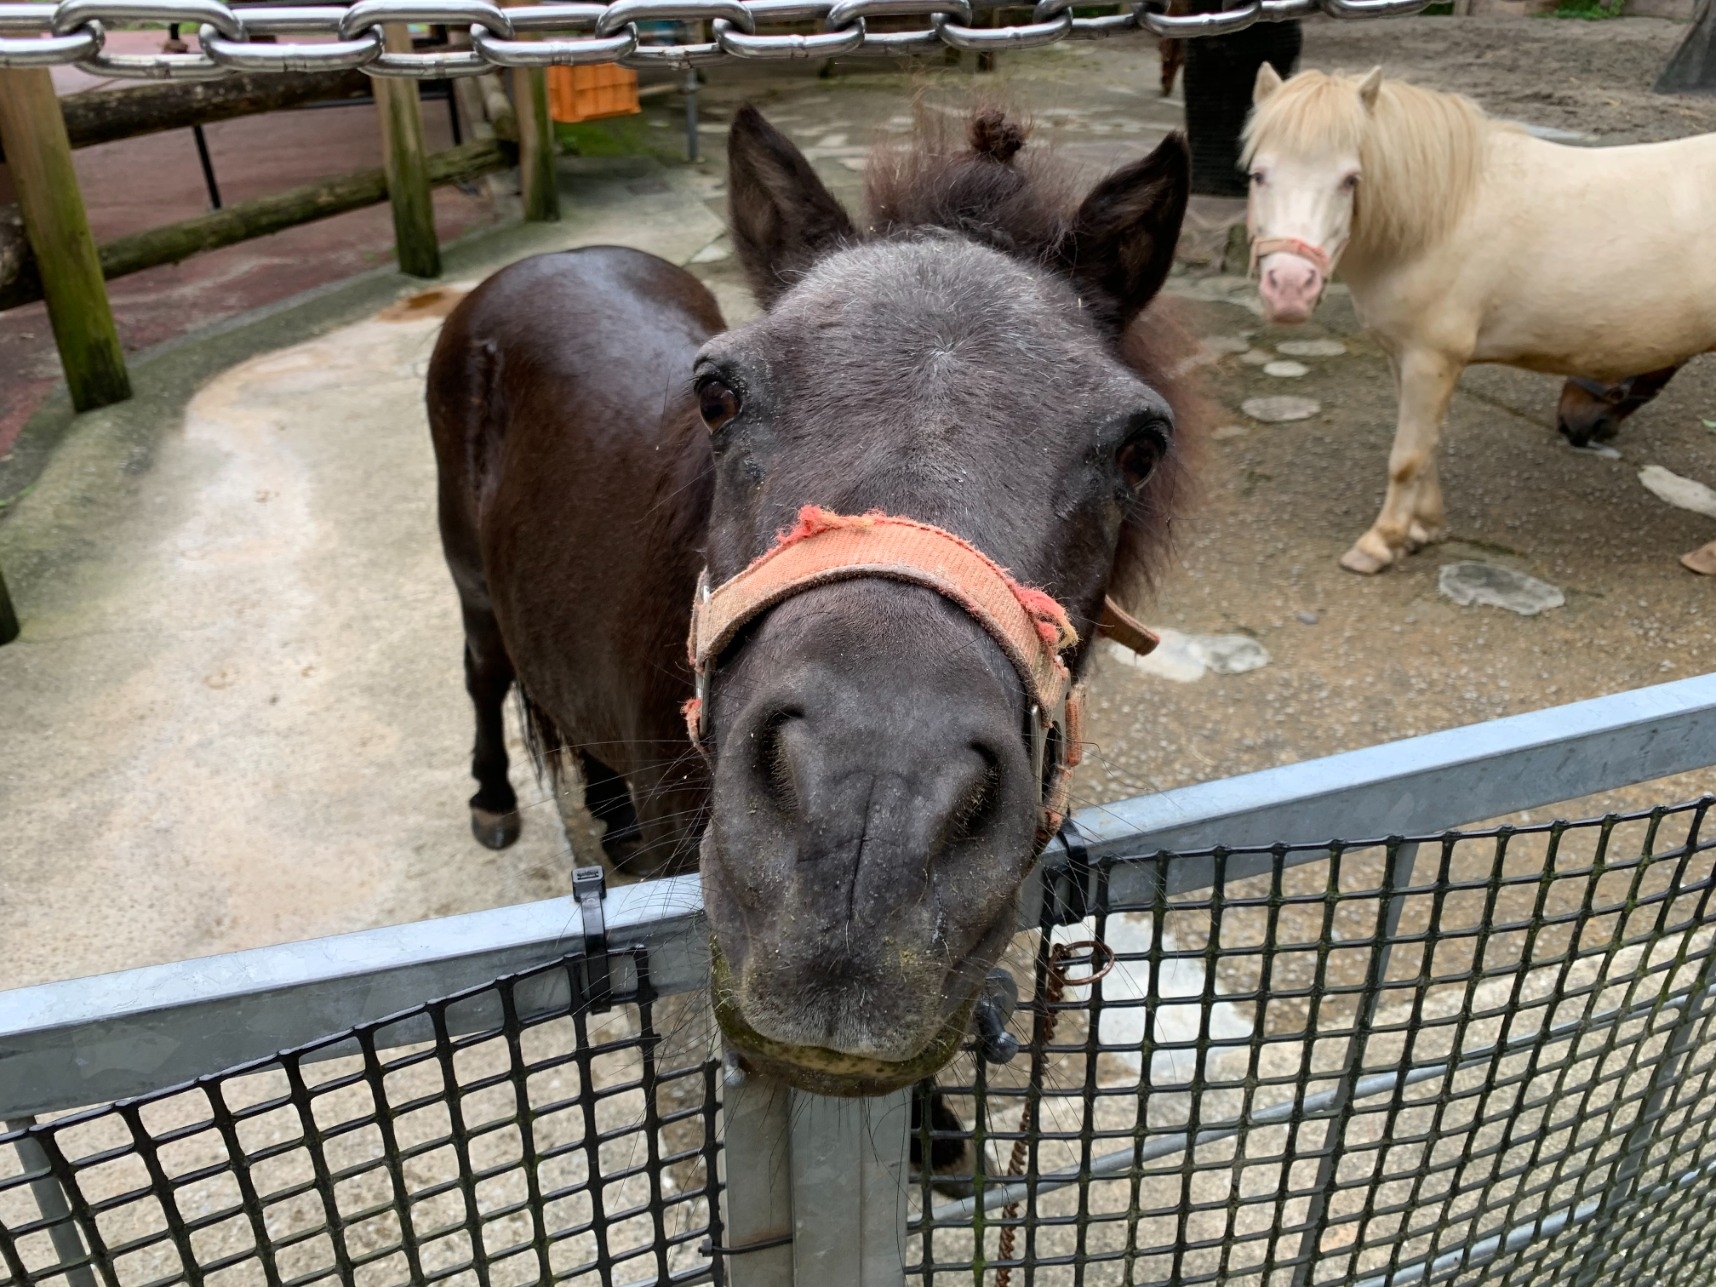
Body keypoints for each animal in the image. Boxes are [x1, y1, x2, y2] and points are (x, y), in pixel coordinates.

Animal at [435, 108, 1201, 1098]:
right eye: (716, 395)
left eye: (1139, 450)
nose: (867, 832)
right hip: (474, 593)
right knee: (485, 679)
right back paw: (494, 799)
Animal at [1242, 66, 1716, 573]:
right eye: (1258, 175)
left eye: (1350, 179)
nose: (1290, 289)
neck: (1442, 217)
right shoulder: (1403, 357)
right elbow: (1426, 446)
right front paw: (1422, 529)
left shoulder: (1431, 359)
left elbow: (1407, 456)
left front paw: (1380, 544)